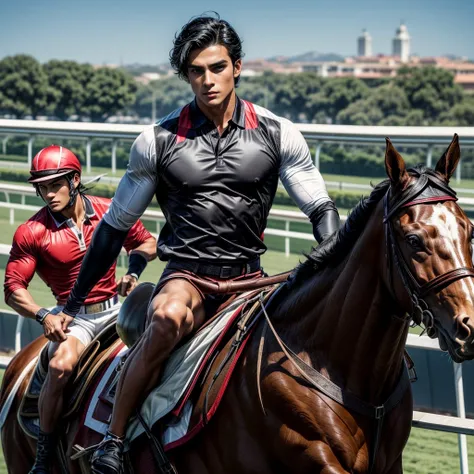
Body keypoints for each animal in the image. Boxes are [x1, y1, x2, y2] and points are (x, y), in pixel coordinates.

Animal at [2, 134, 474, 474]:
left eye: (467, 229)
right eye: (413, 239)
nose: (468, 325)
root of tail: (21, 366)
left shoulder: (387, 463)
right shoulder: (308, 453)